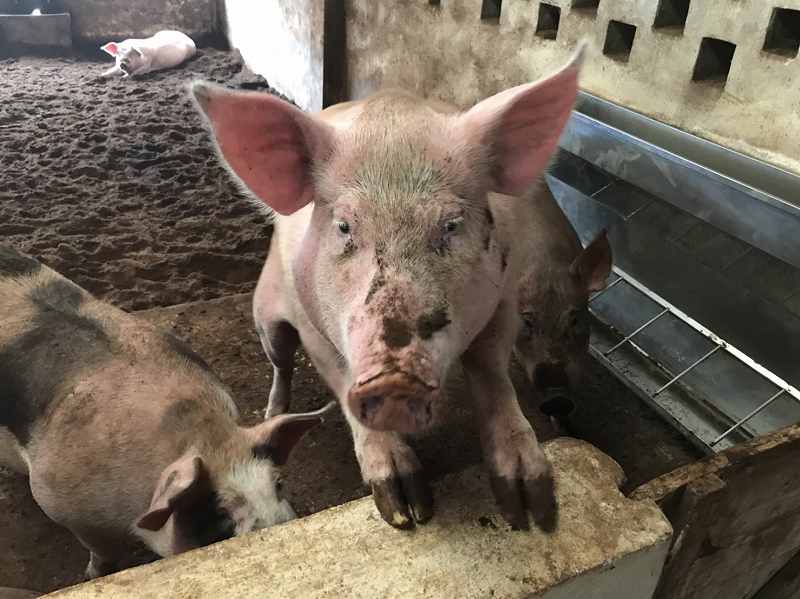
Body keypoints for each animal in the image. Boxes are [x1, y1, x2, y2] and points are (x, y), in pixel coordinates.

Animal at [0, 246, 332, 579]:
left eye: (278, 484)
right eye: (220, 512)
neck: (203, 436)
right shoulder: (59, 504)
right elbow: (102, 552)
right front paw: (92, 575)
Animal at [191, 44, 589, 532]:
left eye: (451, 225)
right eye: (344, 226)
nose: (396, 378)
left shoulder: (504, 304)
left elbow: (494, 378)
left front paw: (534, 513)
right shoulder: (313, 328)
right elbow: (343, 386)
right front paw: (406, 512)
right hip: (267, 314)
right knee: (281, 363)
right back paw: (274, 412)